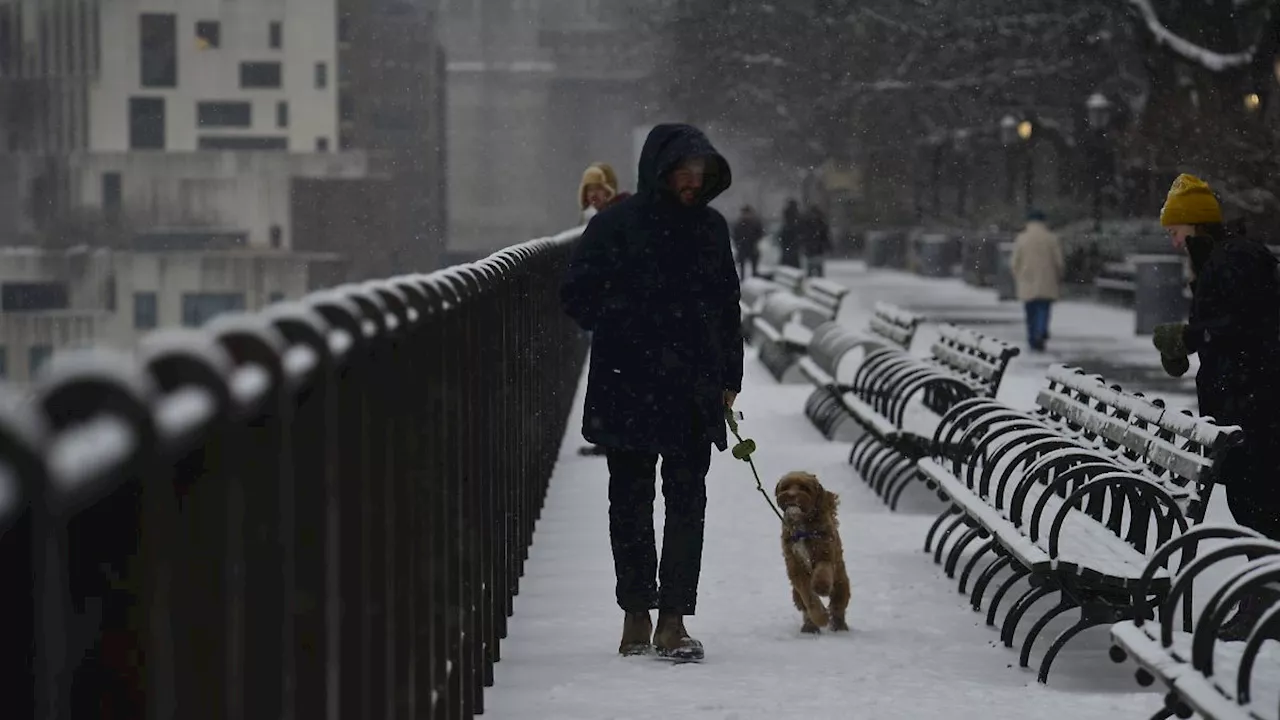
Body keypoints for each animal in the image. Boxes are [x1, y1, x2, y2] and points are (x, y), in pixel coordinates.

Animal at [773, 474, 855, 630]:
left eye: (804, 488)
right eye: (785, 487)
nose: (791, 495)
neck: (802, 527)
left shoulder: (824, 553)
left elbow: (822, 571)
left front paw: (821, 587)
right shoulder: (796, 567)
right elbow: (808, 596)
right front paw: (821, 618)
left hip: (841, 584)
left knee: (838, 606)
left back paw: (840, 626)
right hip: (796, 594)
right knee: (804, 607)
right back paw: (810, 627)